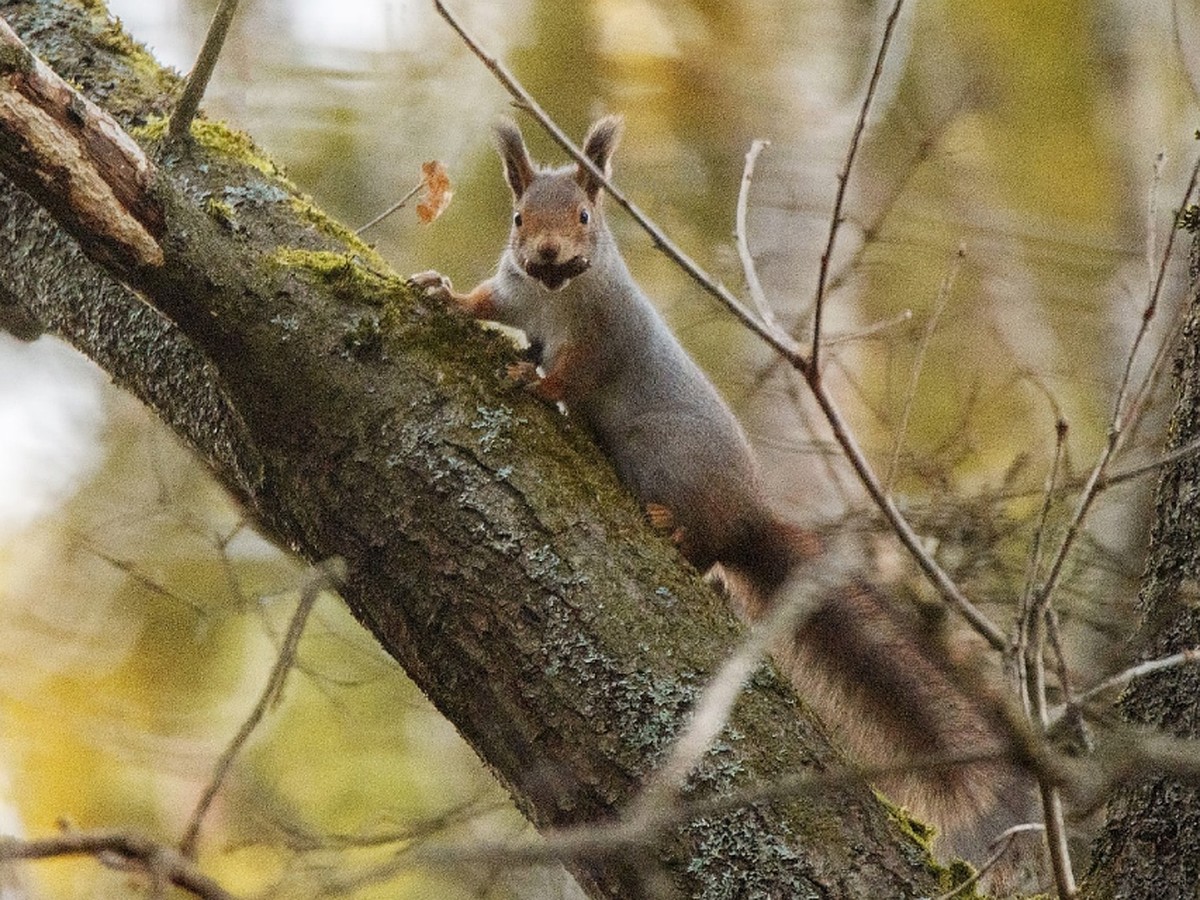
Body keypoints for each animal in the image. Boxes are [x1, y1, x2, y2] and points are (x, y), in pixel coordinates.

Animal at [412, 116, 1032, 864]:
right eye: (518, 217)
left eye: (586, 215)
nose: (548, 254)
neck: (555, 296)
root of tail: (746, 518)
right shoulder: (514, 294)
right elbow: (485, 301)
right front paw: (442, 293)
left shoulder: (604, 335)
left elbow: (574, 373)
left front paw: (533, 380)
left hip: (671, 465)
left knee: (703, 545)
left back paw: (670, 527)